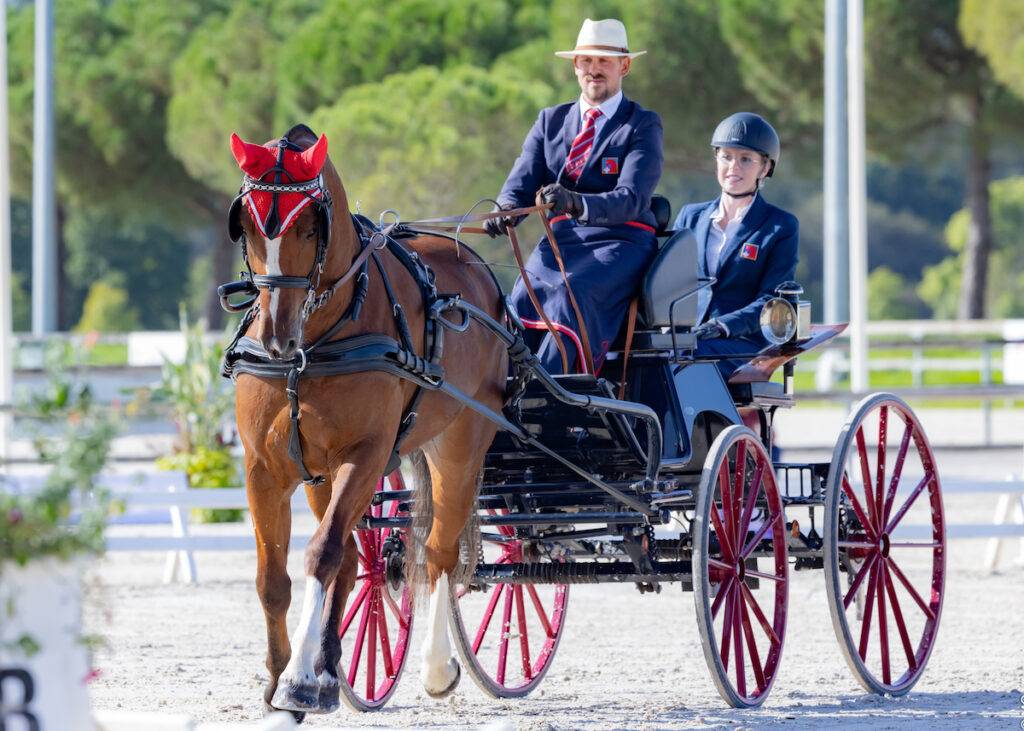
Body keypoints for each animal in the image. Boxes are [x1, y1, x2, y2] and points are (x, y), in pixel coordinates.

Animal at [224, 124, 508, 717]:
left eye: (311, 225)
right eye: (250, 225)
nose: (276, 337)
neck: (311, 347)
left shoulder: (366, 455)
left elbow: (321, 554)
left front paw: (299, 680)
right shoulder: (266, 467)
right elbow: (273, 578)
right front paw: (284, 676)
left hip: (460, 443)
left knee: (438, 550)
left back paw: (437, 666)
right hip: (321, 475)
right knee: (360, 561)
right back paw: (332, 670)